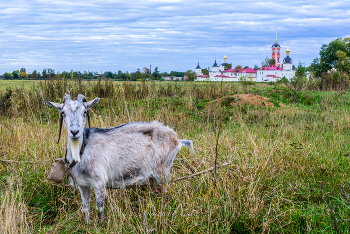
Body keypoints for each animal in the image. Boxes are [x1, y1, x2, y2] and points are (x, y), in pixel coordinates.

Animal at [45, 94, 196, 224]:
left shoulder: (99, 182)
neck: (83, 150)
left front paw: (100, 225)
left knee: (166, 194)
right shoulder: (83, 184)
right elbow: (85, 207)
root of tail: (177, 139)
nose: (74, 132)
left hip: (162, 171)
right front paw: (87, 224)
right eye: (63, 113)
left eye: (85, 112)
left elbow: (100, 207)